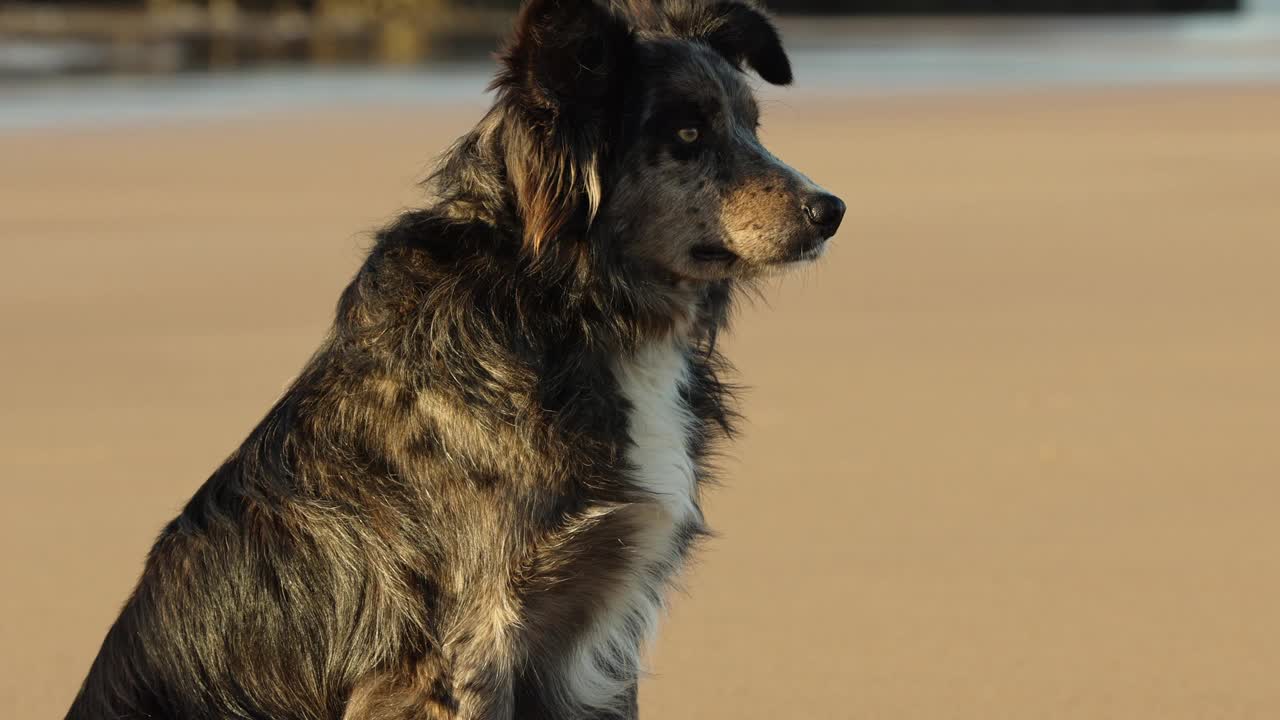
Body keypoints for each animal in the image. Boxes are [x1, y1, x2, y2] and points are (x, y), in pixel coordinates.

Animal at [64, 2, 844, 712]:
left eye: (752, 126)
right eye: (686, 132)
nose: (831, 210)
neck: (575, 309)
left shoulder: (596, 640)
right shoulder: (468, 644)